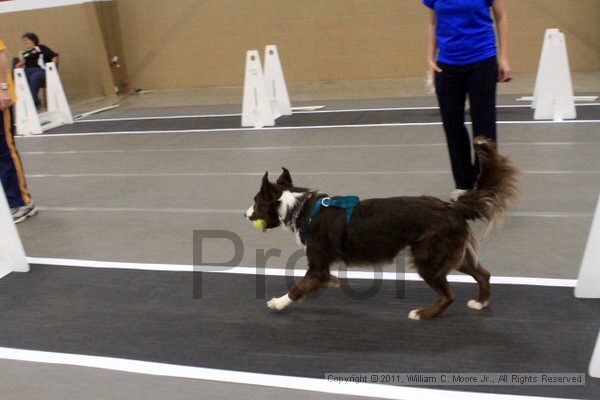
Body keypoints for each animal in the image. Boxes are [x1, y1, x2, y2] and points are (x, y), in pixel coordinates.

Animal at [244, 136, 516, 320]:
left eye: (255, 202)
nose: (245, 215)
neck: (300, 207)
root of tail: (453, 207)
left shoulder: (318, 268)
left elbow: (298, 287)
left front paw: (278, 303)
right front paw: (332, 283)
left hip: (429, 258)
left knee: (448, 295)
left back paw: (423, 314)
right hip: (452, 254)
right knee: (483, 273)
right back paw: (481, 303)